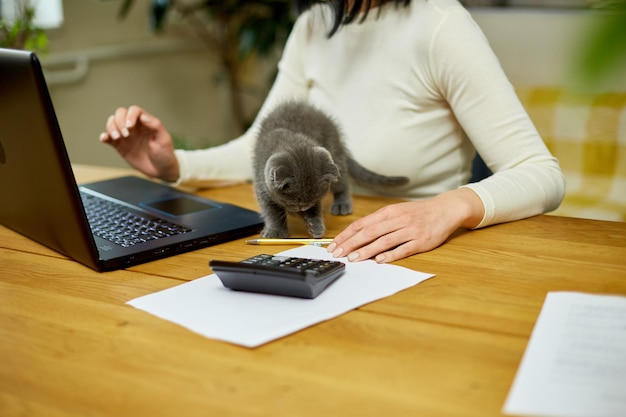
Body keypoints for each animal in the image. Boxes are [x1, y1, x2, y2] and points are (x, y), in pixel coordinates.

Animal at [251, 101, 408, 237]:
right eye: (294, 202)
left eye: (311, 201)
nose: (302, 209)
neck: (289, 141)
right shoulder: (262, 185)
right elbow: (271, 211)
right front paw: (275, 230)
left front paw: (314, 224)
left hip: (334, 155)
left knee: (342, 184)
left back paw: (342, 204)